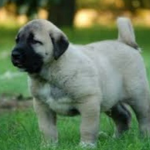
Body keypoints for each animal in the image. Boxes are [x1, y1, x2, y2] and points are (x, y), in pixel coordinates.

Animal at [11, 17, 150, 148]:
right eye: (17, 40)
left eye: (34, 41)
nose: (14, 54)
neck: (51, 73)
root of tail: (125, 43)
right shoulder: (43, 106)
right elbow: (47, 129)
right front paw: (48, 145)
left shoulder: (89, 103)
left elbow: (87, 128)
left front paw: (86, 145)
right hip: (111, 99)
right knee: (123, 116)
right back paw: (117, 139)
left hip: (138, 96)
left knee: (144, 118)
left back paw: (144, 138)